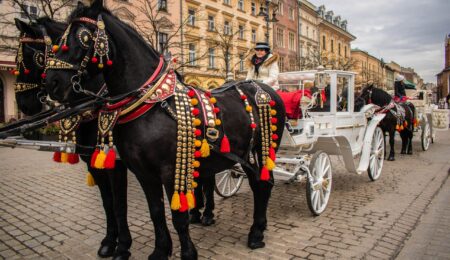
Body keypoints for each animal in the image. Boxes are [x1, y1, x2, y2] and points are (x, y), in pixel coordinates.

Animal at [12, 17, 132, 258]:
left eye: (29, 56)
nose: (23, 105)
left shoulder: (115, 164)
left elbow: (119, 204)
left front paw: (123, 246)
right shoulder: (93, 162)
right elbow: (107, 202)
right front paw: (109, 241)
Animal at [44, 1, 284, 258]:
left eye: (84, 38)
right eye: (58, 41)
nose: (52, 82)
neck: (150, 105)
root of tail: (263, 88)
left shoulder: (169, 170)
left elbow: (177, 216)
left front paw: (187, 253)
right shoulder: (142, 172)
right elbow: (155, 212)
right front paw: (160, 250)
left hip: (262, 150)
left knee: (263, 184)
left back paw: (256, 233)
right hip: (245, 154)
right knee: (259, 184)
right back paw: (258, 228)